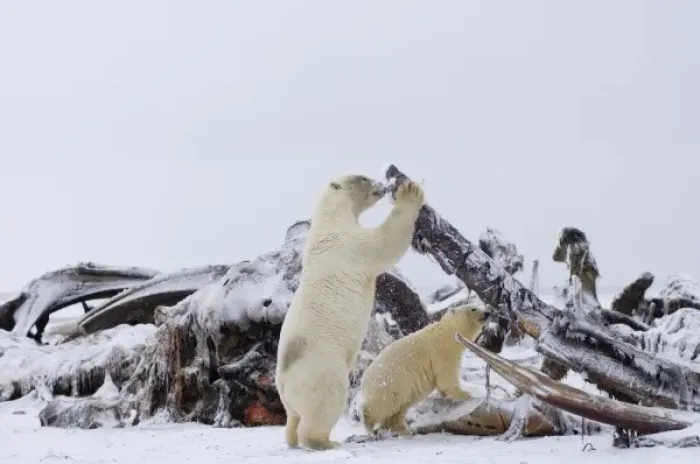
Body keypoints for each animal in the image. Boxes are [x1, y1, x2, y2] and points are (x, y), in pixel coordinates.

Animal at [275, 174, 425, 451]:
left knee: (293, 418)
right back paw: (324, 441)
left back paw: (292, 439)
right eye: (364, 178)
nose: (382, 185)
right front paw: (410, 191)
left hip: (292, 396)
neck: (330, 222)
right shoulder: (351, 245)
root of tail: (284, 382)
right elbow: (385, 242)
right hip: (322, 369)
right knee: (325, 402)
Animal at [359, 304, 490, 437]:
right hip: (391, 382)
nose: (487, 313)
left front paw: (444, 395)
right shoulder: (443, 352)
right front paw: (465, 394)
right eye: (473, 308)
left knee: (399, 409)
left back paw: (406, 430)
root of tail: (364, 379)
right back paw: (370, 427)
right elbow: (447, 376)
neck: (447, 333)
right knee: (384, 404)